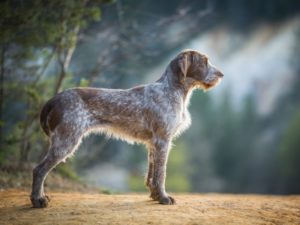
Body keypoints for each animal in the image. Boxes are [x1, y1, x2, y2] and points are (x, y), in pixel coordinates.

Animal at [30, 49, 223, 207]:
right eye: (204, 61)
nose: (221, 74)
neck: (172, 89)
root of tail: (54, 99)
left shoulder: (153, 144)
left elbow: (151, 174)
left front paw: (155, 196)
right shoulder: (162, 141)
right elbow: (161, 174)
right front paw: (163, 198)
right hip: (66, 141)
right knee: (39, 169)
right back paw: (38, 200)